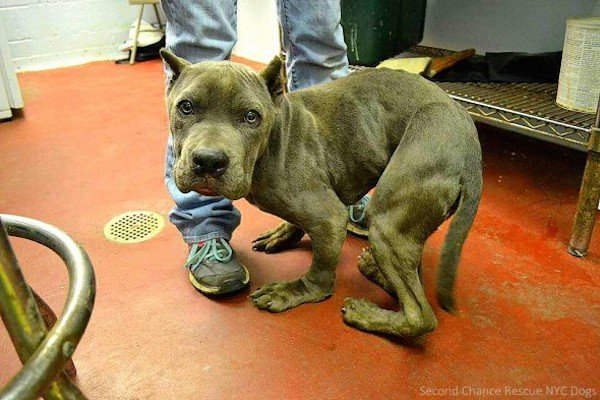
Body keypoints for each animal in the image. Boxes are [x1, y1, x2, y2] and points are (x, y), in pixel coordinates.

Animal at [161, 49, 482, 338]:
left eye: (251, 116)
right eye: (186, 106)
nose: (208, 161)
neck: (275, 138)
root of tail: (471, 149)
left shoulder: (330, 218)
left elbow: (320, 271)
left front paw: (295, 292)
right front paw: (284, 233)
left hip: (389, 221)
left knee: (419, 315)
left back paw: (368, 315)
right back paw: (375, 271)